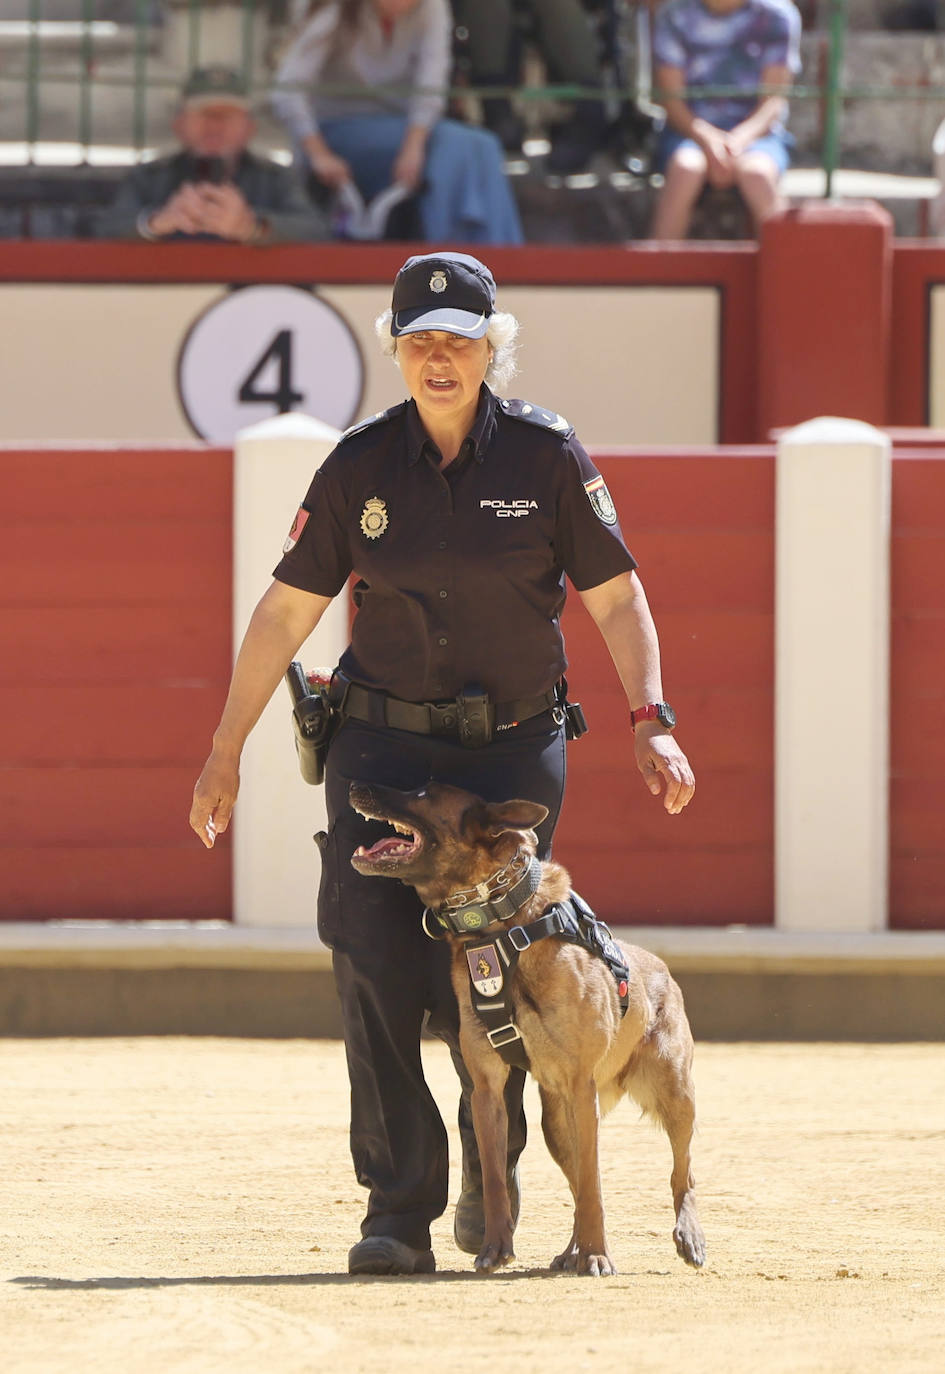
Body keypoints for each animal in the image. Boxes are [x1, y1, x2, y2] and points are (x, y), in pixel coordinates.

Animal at [350, 785, 703, 1275]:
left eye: (422, 792)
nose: (355, 787)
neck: (499, 927)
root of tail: (663, 970)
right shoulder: (488, 1090)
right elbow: (498, 1180)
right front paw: (496, 1248)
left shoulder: (581, 1087)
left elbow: (595, 1186)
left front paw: (598, 1253)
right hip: (556, 1121)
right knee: (577, 1186)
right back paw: (572, 1251)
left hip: (673, 1094)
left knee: (680, 1171)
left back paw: (686, 1236)